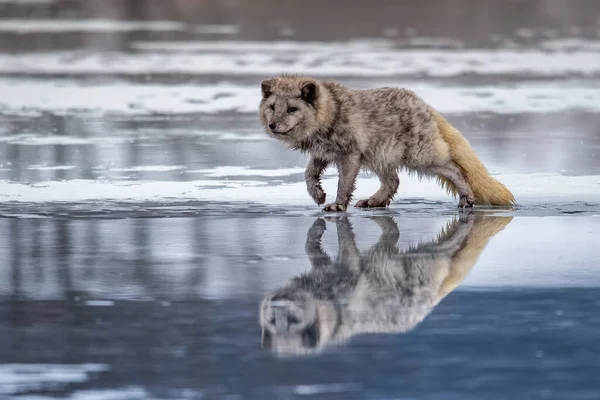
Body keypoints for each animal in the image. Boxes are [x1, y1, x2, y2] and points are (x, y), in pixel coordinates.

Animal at [258, 76, 516, 212]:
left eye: (292, 109)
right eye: (272, 107)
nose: (272, 125)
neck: (332, 113)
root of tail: (425, 105)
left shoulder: (350, 155)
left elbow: (344, 185)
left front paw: (337, 206)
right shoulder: (323, 153)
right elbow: (308, 175)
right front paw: (318, 195)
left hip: (420, 157)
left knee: (455, 169)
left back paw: (466, 198)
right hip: (379, 157)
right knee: (393, 182)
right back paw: (374, 201)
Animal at [258, 216, 510, 356]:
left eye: (293, 320)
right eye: (273, 321)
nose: (278, 303)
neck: (329, 306)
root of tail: (433, 296)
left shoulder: (347, 278)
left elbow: (344, 252)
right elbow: (313, 250)